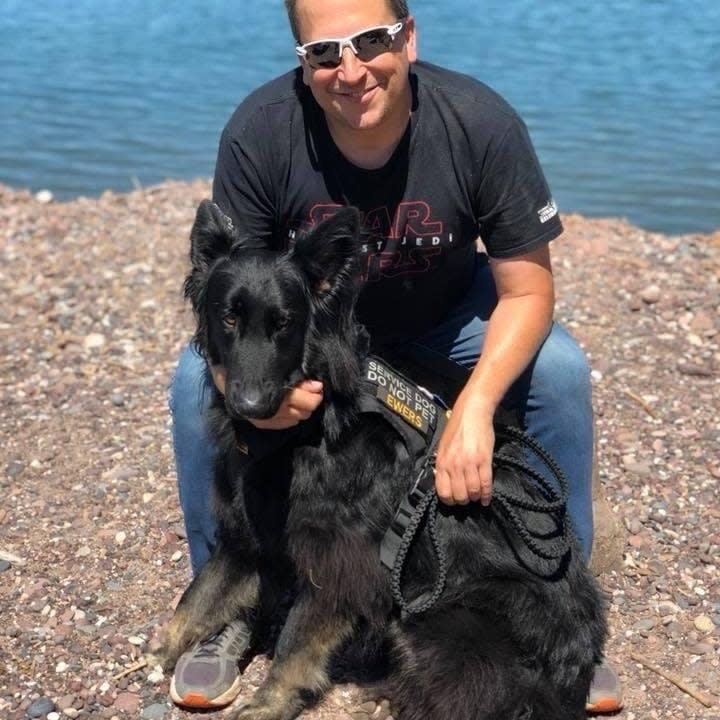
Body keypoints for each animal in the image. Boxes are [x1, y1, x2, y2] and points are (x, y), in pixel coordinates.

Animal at [160, 201, 604, 720]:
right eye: (228, 319)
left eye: (284, 323)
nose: (248, 405)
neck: (316, 426)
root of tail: (566, 689)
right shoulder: (249, 531)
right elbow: (198, 593)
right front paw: (161, 647)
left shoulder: (340, 564)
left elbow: (295, 642)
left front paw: (271, 703)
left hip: (438, 622)